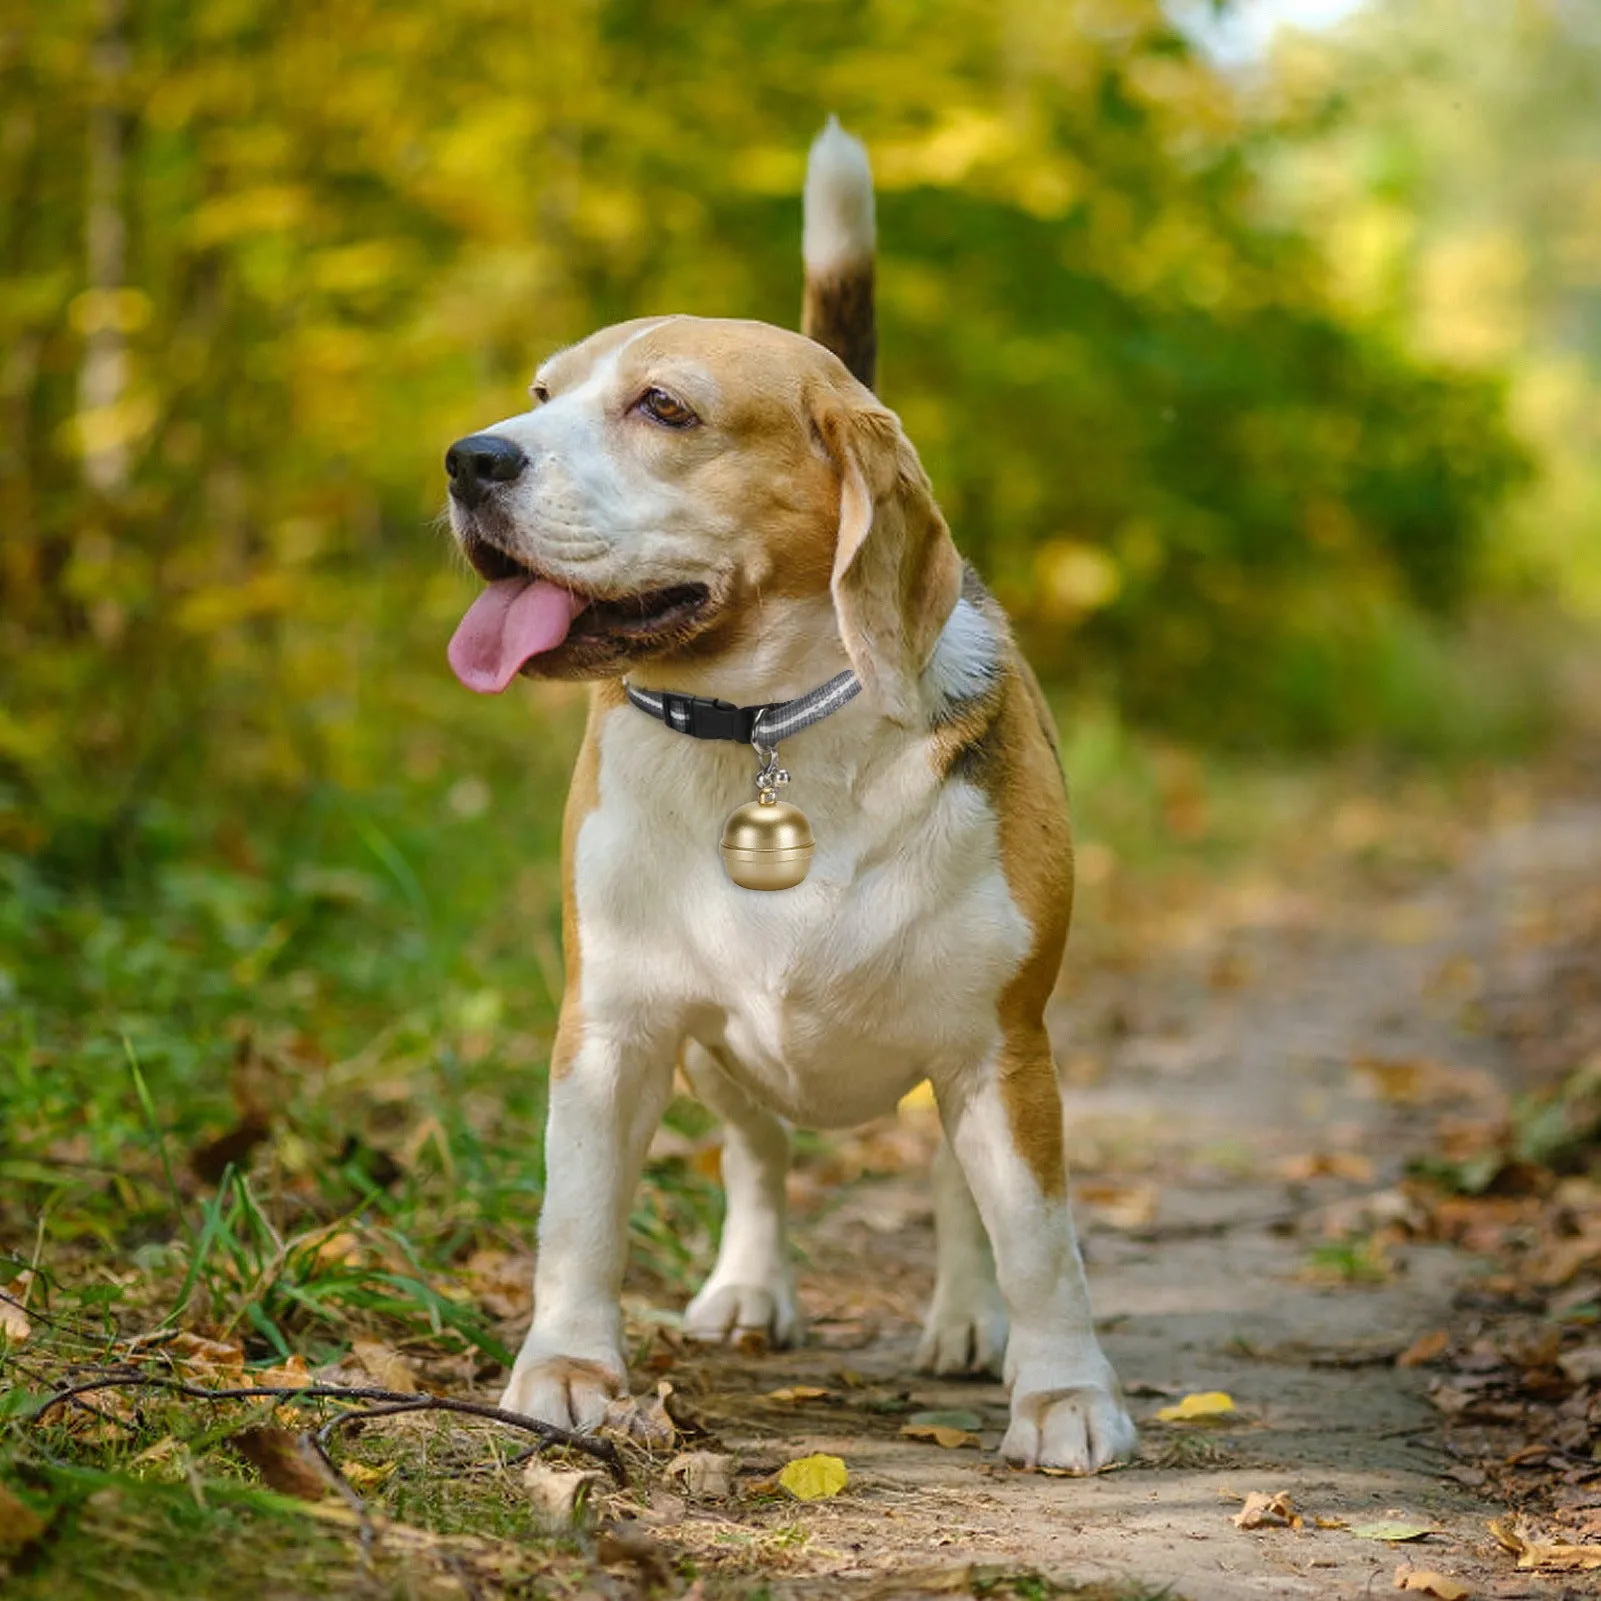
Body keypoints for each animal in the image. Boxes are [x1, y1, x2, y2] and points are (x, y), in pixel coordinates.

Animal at [441, 118, 1139, 1466]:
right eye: (542, 396)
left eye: (663, 406)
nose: (466, 458)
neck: (763, 731)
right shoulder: (608, 1028)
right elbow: (577, 1220)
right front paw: (565, 1370)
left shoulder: (999, 1044)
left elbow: (1040, 1240)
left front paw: (1067, 1394)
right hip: (717, 1053)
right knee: (758, 1158)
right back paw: (750, 1288)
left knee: (955, 1196)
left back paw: (967, 1320)